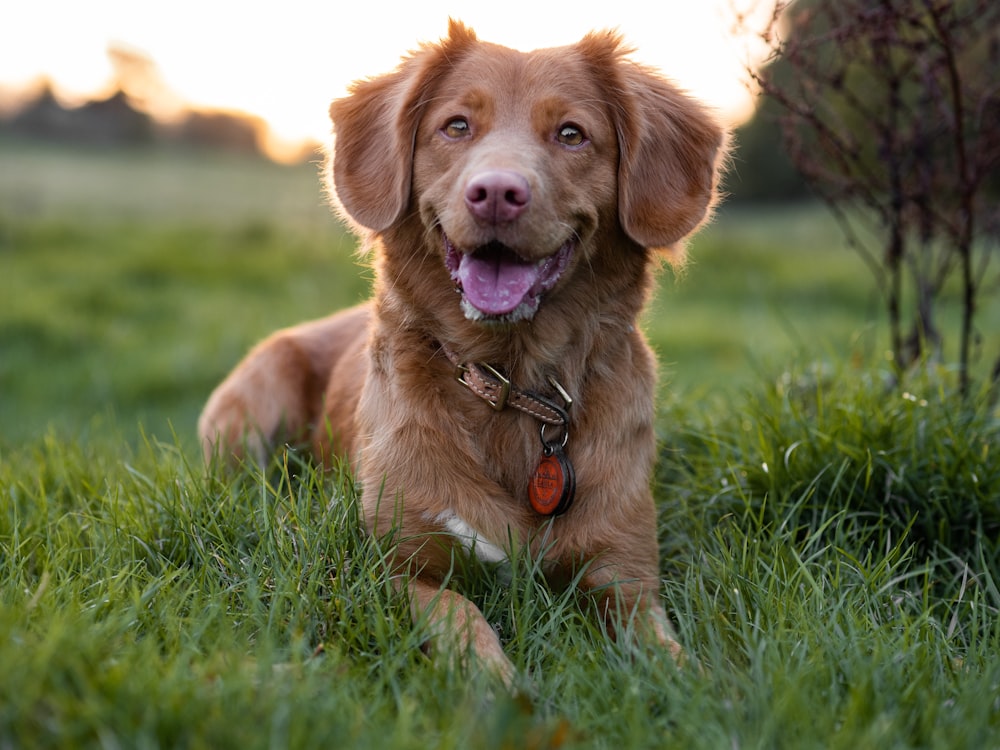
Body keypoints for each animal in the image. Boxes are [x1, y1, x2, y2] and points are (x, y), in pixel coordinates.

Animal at [199, 19, 724, 688]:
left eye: (571, 134)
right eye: (456, 126)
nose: (496, 192)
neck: (512, 382)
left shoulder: (625, 577)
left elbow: (674, 659)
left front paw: (701, 688)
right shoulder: (399, 570)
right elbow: (461, 619)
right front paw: (500, 689)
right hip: (250, 413)